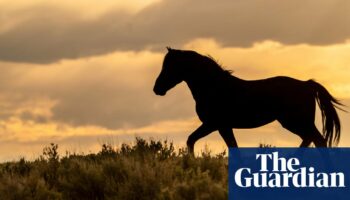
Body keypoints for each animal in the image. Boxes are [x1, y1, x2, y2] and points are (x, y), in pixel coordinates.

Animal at [152, 47, 342, 155]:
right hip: (297, 123)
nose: (157, 89)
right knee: (313, 140)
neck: (213, 87)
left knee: (317, 140)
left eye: (171, 66)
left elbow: (191, 140)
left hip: (296, 122)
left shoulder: (214, 124)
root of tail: (306, 84)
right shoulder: (223, 126)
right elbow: (231, 146)